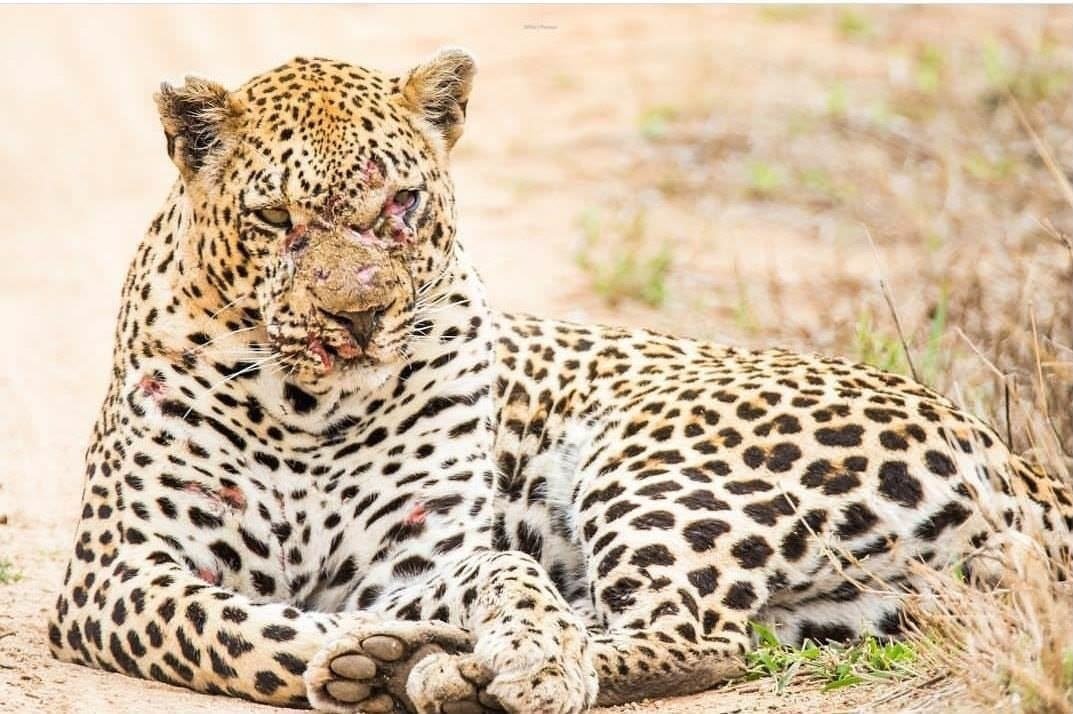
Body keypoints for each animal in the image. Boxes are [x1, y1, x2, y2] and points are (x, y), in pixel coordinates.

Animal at [48, 48, 1072, 714]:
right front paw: (371, 656)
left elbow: (509, 577)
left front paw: (519, 658)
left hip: (656, 454)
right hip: (856, 606)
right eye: (274, 219)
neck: (310, 404)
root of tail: (1016, 455)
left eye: (401, 203)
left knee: (694, 635)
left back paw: (460, 675)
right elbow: (243, 626)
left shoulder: (418, 559)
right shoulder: (120, 572)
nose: (359, 316)